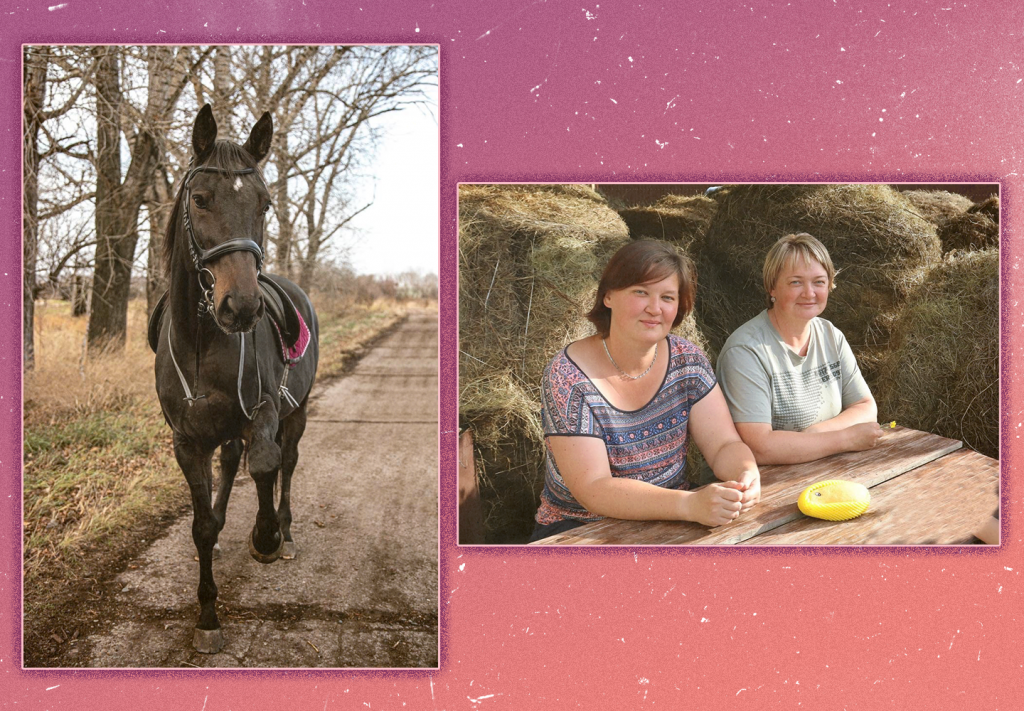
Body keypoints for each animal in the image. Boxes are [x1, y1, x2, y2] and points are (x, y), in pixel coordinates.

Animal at [149, 106, 317, 655]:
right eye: (200, 199)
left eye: (264, 204)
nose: (242, 306)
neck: (203, 343)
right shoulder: (187, 440)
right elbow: (201, 525)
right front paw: (207, 617)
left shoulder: (262, 409)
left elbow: (265, 463)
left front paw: (265, 538)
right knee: (229, 462)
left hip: (297, 412)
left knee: (285, 462)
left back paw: (283, 534)